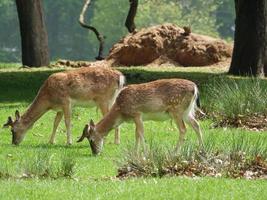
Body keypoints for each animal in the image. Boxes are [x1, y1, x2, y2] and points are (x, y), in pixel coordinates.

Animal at [77, 78, 205, 155]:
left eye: (91, 139)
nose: (95, 152)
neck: (120, 111)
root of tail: (195, 88)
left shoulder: (137, 113)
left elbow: (141, 133)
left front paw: (145, 152)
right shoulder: (136, 118)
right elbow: (137, 134)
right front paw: (135, 152)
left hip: (176, 110)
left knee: (183, 129)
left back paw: (175, 151)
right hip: (187, 112)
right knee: (196, 124)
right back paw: (200, 148)